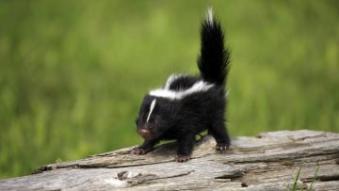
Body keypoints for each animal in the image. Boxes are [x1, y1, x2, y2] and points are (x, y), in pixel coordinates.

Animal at [131, 8, 231, 161]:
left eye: (156, 120)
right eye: (142, 116)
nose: (143, 131)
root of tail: (210, 81)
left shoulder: (187, 117)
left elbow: (186, 136)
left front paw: (183, 155)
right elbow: (153, 138)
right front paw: (141, 148)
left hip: (214, 108)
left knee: (218, 125)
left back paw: (223, 144)